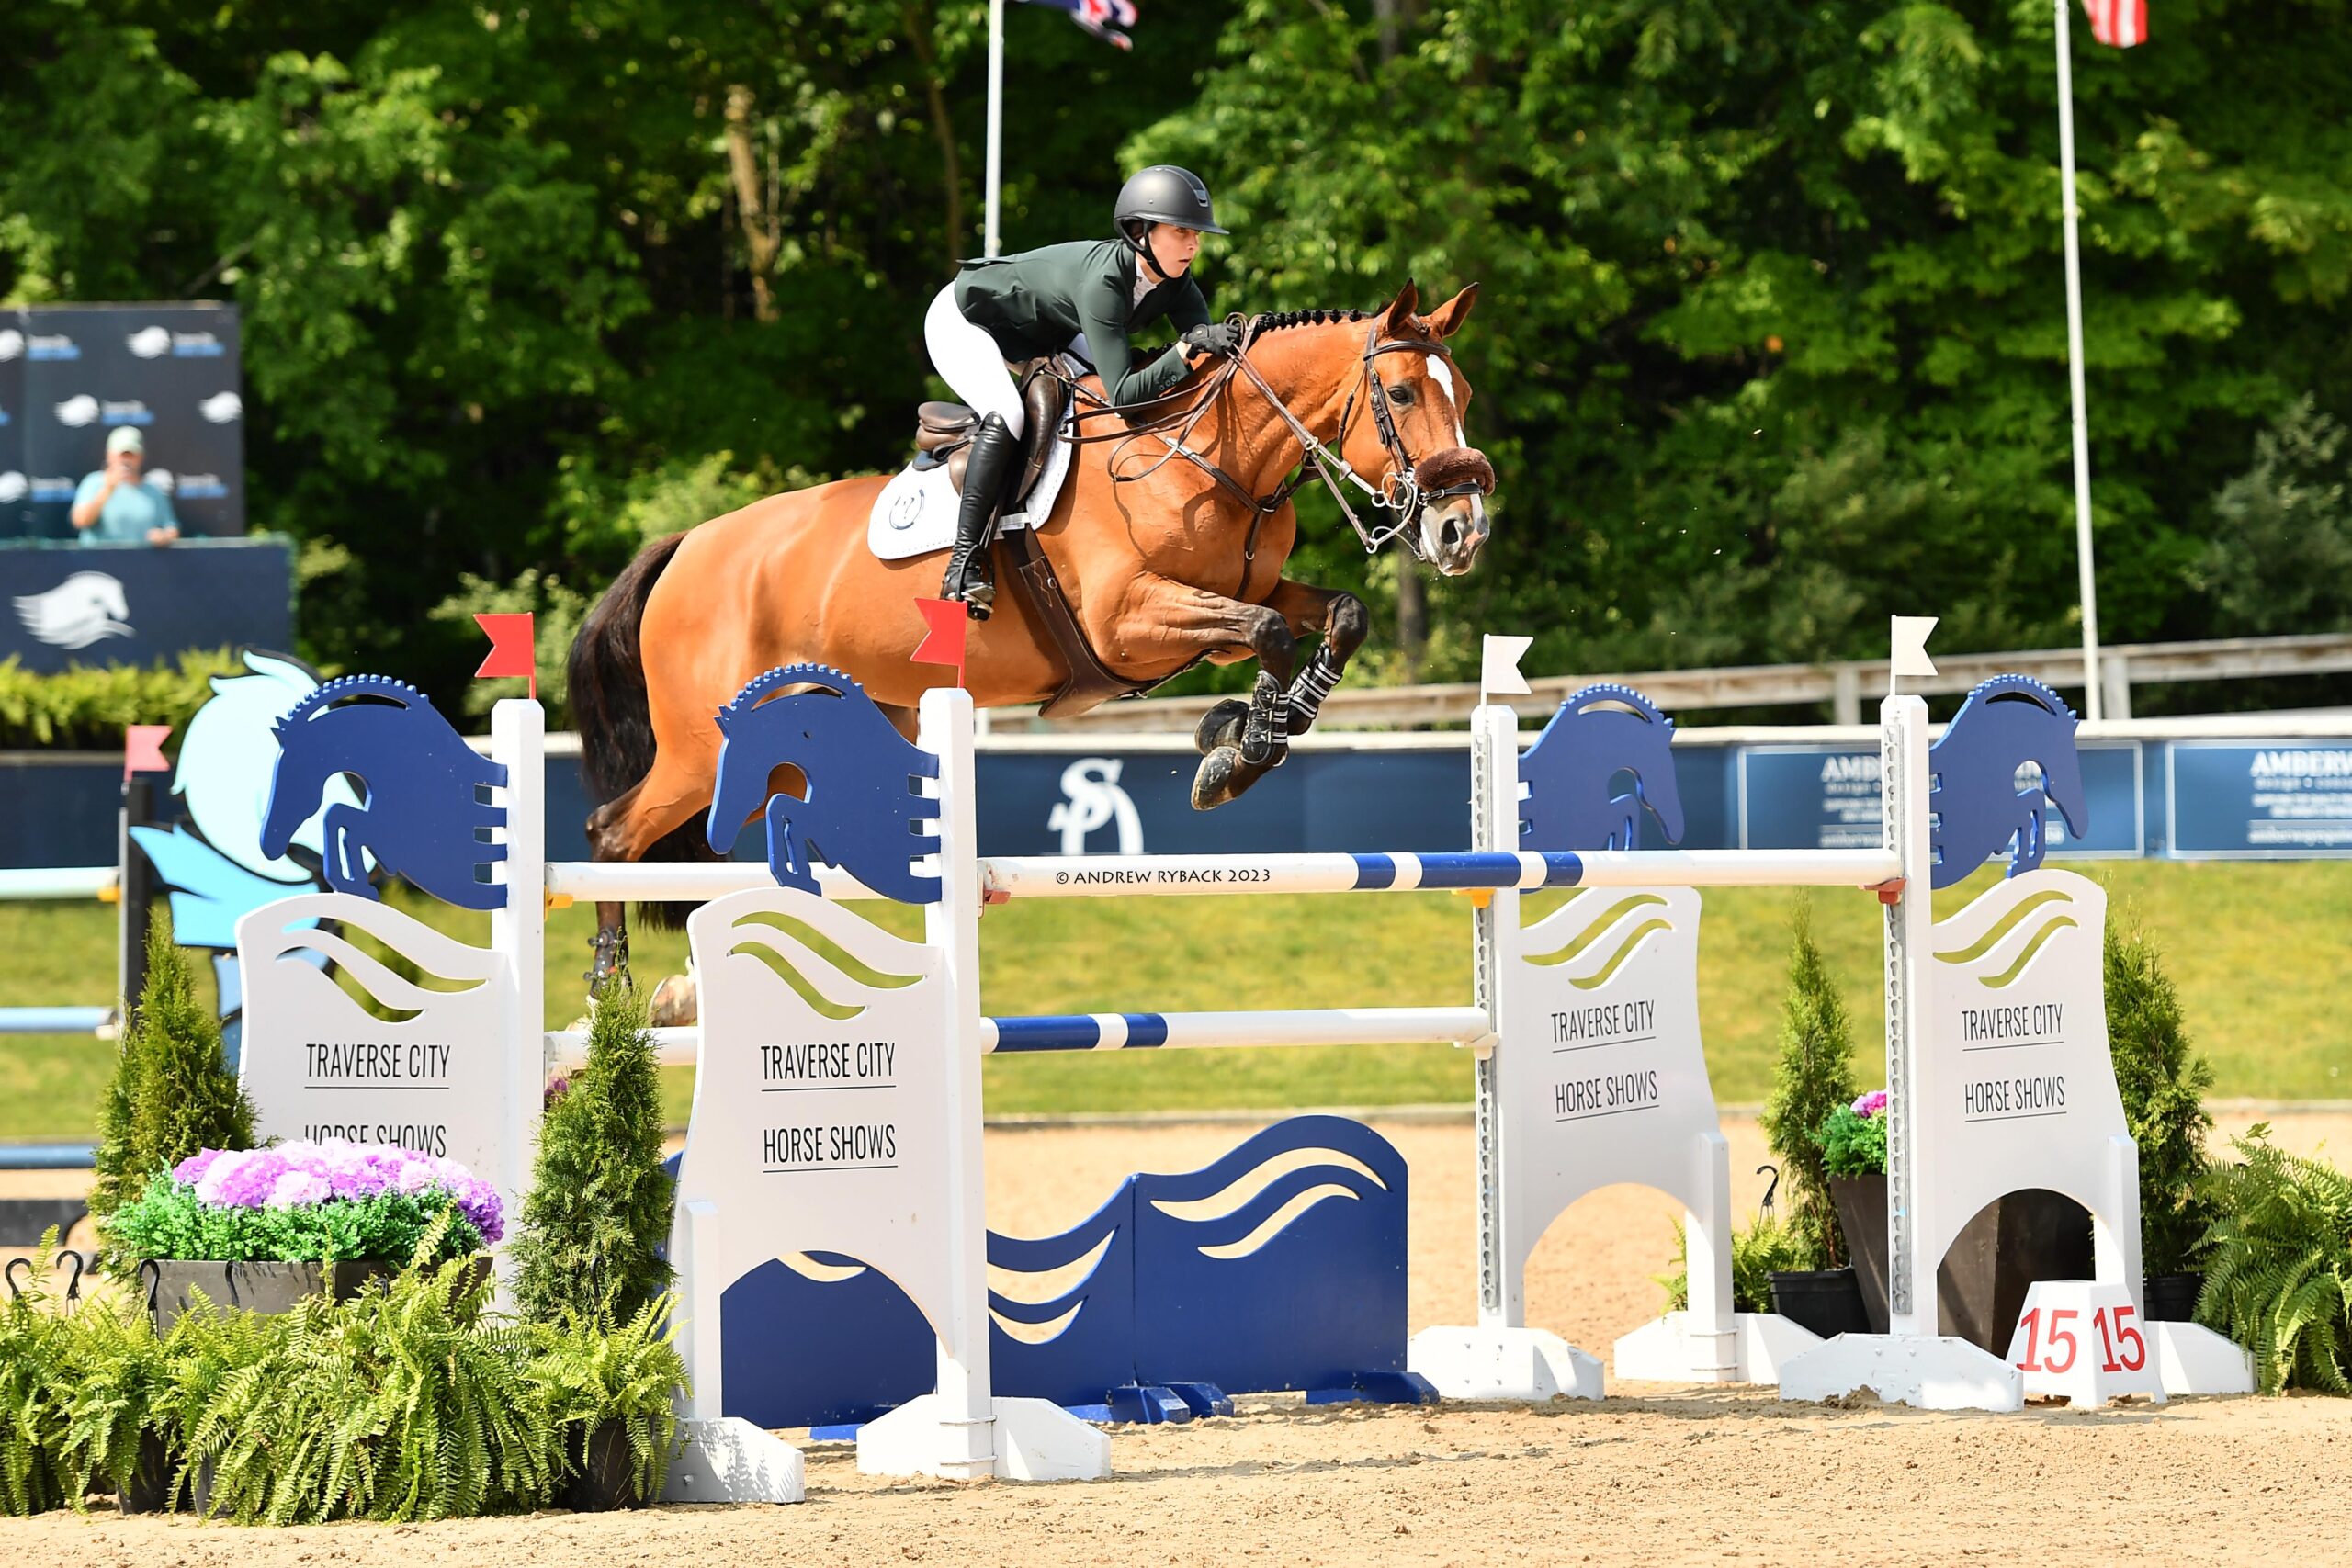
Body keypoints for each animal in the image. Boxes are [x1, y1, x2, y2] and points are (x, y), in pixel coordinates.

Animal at [564, 276, 1486, 987]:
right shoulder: (1129, 623)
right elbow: (1265, 633)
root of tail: (687, 545)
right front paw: (1238, 753)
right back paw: (614, 982)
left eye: (1465, 397)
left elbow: (1333, 615)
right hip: (700, 745)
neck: (1211, 458)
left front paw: (1252, 728)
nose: (1462, 532)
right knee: (611, 831)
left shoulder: (1241, 596)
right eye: (1402, 394)